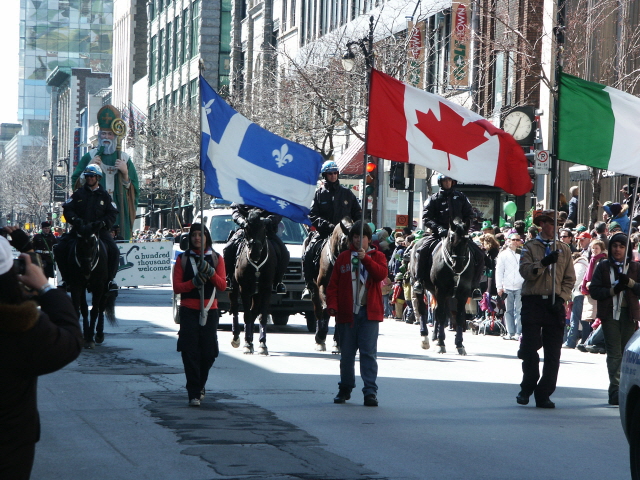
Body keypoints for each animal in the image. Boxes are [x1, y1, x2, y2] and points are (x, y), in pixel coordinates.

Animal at [231, 208, 278, 354]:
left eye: (263, 228)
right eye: (246, 228)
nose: (254, 253)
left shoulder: (266, 289)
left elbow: (261, 315)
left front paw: (262, 344)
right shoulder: (244, 288)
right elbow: (246, 315)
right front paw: (247, 344)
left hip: (257, 294)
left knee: (254, 311)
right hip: (234, 288)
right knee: (235, 308)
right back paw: (237, 337)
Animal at [308, 218, 352, 352]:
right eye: (343, 240)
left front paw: (338, 342)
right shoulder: (323, 287)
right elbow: (326, 310)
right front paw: (321, 337)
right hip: (314, 288)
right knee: (318, 309)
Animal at [412, 219, 478, 354]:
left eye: (466, 239)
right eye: (451, 238)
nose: (458, 265)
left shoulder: (462, 294)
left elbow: (459, 316)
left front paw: (459, 344)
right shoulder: (441, 291)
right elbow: (442, 315)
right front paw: (441, 343)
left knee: (437, 310)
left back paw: (434, 336)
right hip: (423, 289)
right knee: (422, 309)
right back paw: (425, 337)